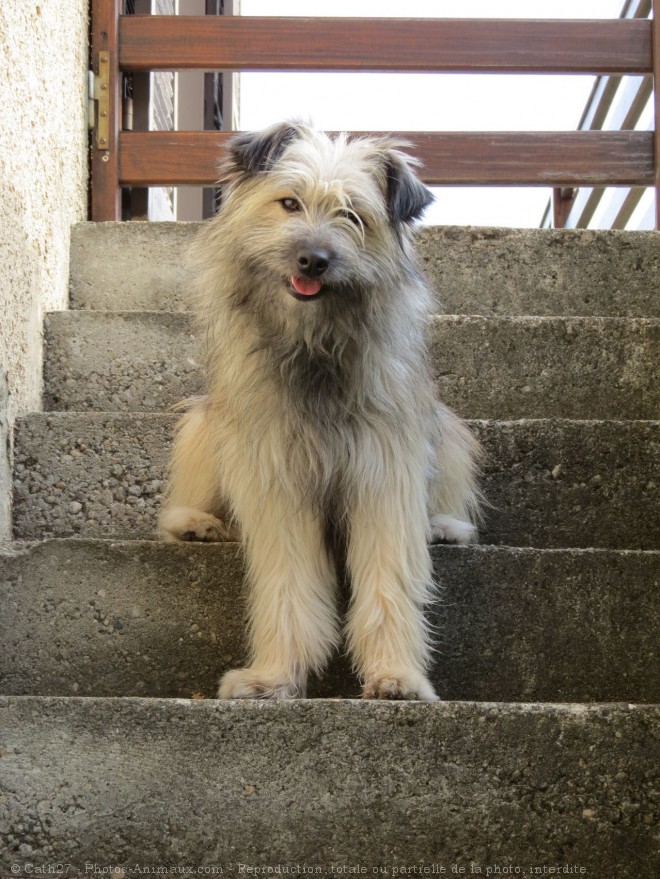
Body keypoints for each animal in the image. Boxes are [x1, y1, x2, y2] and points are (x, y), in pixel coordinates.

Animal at [160, 122, 480, 700]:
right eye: (289, 202)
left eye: (352, 215)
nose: (313, 259)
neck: (316, 346)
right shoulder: (276, 476)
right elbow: (287, 584)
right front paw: (275, 675)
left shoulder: (384, 472)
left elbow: (388, 580)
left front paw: (396, 674)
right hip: (207, 423)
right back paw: (194, 521)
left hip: (445, 430)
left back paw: (443, 525)